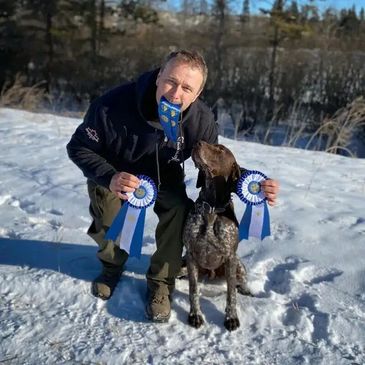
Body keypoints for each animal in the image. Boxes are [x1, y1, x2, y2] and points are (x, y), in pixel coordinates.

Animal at [181, 141, 252, 332]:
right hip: (182, 264)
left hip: (239, 266)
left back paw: (246, 290)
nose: (197, 142)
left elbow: (231, 294)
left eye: (221, 149)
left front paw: (231, 317)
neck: (211, 207)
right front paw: (195, 315)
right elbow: (193, 290)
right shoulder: (190, 255)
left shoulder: (230, 257)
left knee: (240, 282)